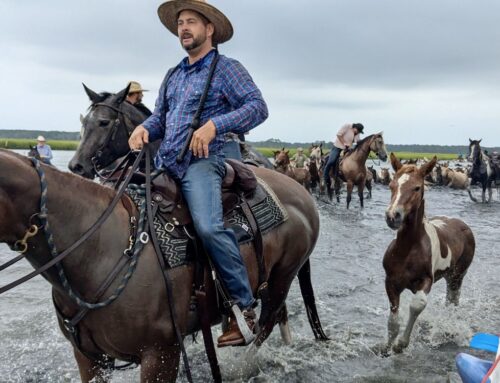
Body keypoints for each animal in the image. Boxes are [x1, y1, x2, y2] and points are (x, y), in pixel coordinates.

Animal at [0, 148, 328, 382]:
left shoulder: (161, 355)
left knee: (265, 325)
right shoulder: (89, 359)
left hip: (283, 278)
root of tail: (301, 192)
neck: (100, 250)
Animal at [380, 152, 474, 354]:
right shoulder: (391, 281)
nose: (392, 216)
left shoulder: (426, 280)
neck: (408, 249)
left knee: (452, 300)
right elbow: (393, 320)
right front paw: (387, 347)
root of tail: (462, 224)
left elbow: (417, 305)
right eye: (392, 185)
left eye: (416, 188)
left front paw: (401, 344)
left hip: (457, 276)